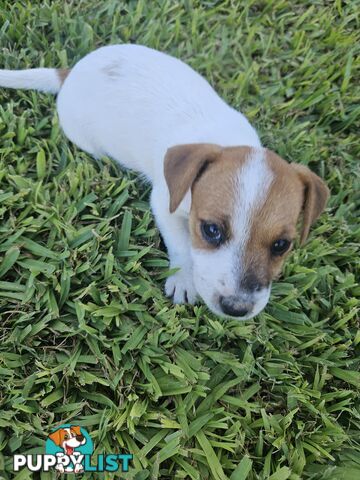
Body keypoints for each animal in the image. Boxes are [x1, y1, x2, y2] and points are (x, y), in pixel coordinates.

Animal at [0, 44, 330, 318]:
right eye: (211, 231)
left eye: (282, 245)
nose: (237, 308)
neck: (223, 139)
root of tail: (70, 74)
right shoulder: (164, 203)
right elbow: (181, 244)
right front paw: (184, 278)